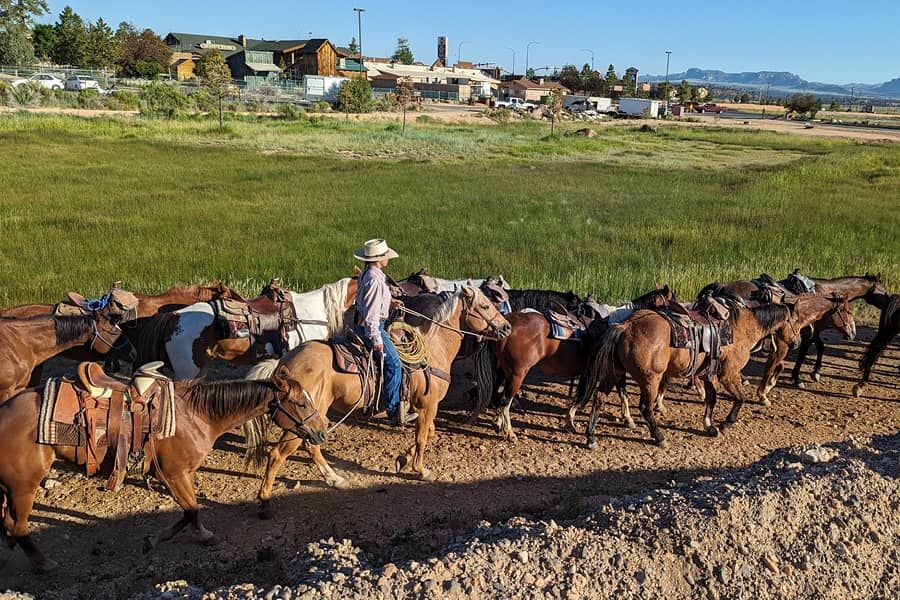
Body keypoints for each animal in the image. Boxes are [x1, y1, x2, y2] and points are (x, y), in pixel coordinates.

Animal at [0, 376, 326, 572]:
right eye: (300, 403)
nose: (320, 432)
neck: (197, 415)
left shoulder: (182, 474)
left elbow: (192, 510)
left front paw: (200, 534)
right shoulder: (172, 475)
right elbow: (191, 509)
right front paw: (156, 540)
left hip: (11, 488)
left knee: (8, 523)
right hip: (24, 486)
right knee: (19, 527)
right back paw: (44, 563)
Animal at [246, 286, 510, 516]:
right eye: (485, 306)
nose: (506, 327)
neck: (434, 350)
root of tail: (284, 364)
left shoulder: (425, 409)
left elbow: (428, 434)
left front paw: (403, 460)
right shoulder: (428, 407)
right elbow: (423, 438)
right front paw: (421, 470)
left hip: (313, 420)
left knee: (311, 447)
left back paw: (335, 479)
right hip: (302, 419)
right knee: (278, 454)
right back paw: (265, 501)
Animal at [576, 288, 796, 448]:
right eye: (794, 321)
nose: (795, 343)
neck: (743, 327)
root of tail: (625, 326)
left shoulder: (709, 375)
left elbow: (711, 399)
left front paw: (710, 426)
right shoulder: (728, 374)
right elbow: (740, 398)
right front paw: (726, 424)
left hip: (615, 373)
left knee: (599, 398)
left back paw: (591, 437)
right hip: (650, 379)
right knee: (646, 408)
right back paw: (659, 437)